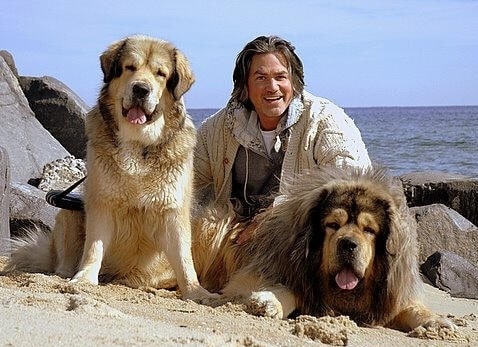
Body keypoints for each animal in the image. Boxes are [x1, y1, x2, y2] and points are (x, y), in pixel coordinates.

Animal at [7, 34, 215, 304]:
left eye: (161, 73)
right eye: (130, 67)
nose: (141, 89)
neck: (138, 142)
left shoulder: (173, 211)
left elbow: (183, 257)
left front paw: (196, 292)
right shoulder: (101, 204)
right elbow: (94, 247)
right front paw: (84, 279)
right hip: (68, 213)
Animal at [192, 168, 454, 332]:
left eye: (369, 230)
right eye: (332, 225)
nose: (348, 243)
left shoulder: (390, 297)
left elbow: (414, 308)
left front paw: (437, 322)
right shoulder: (255, 276)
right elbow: (292, 289)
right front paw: (269, 301)